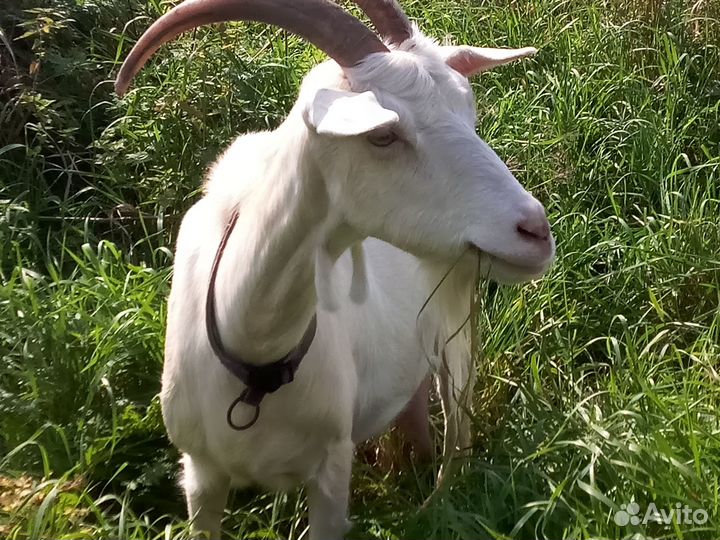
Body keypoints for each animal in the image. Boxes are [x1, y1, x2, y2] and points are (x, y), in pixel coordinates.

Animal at [115, 1, 555, 538]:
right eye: (383, 135)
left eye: (468, 114)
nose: (535, 231)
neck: (254, 358)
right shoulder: (200, 475)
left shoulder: (330, 470)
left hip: (456, 321)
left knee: (458, 421)